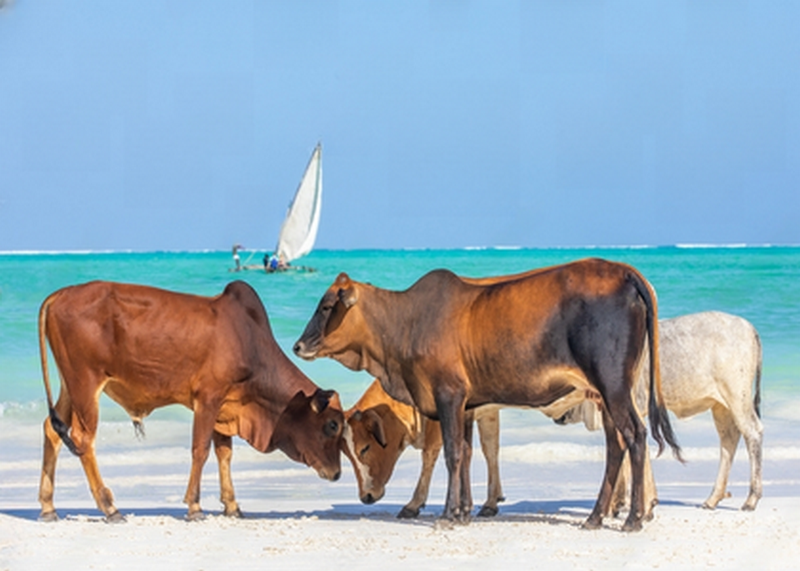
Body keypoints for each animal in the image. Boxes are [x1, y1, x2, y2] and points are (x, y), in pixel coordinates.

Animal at [38, 280, 344, 522]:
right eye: (331, 426)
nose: (337, 474)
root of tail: (59, 294)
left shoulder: (226, 406)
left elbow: (224, 453)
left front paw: (232, 505)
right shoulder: (208, 398)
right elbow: (201, 450)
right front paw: (194, 506)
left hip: (69, 385)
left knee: (52, 429)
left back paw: (48, 507)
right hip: (85, 383)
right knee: (83, 438)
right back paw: (110, 508)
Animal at [294, 258, 682, 531]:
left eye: (327, 306)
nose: (298, 345)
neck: (406, 323)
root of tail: (624, 271)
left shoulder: (448, 395)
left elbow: (451, 454)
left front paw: (448, 514)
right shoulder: (468, 405)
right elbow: (467, 454)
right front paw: (465, 511)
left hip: (612, 385)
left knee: (635, 436)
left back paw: (632, 518)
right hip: (606, 394)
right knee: (616, 445)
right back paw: (596, 517)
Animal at [559, 311, 764, 513]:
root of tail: (748, 326)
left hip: (737, 397)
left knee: (752, 432)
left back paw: (751, 499)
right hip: (720, 405)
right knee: (729, 439)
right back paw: (713, 498)